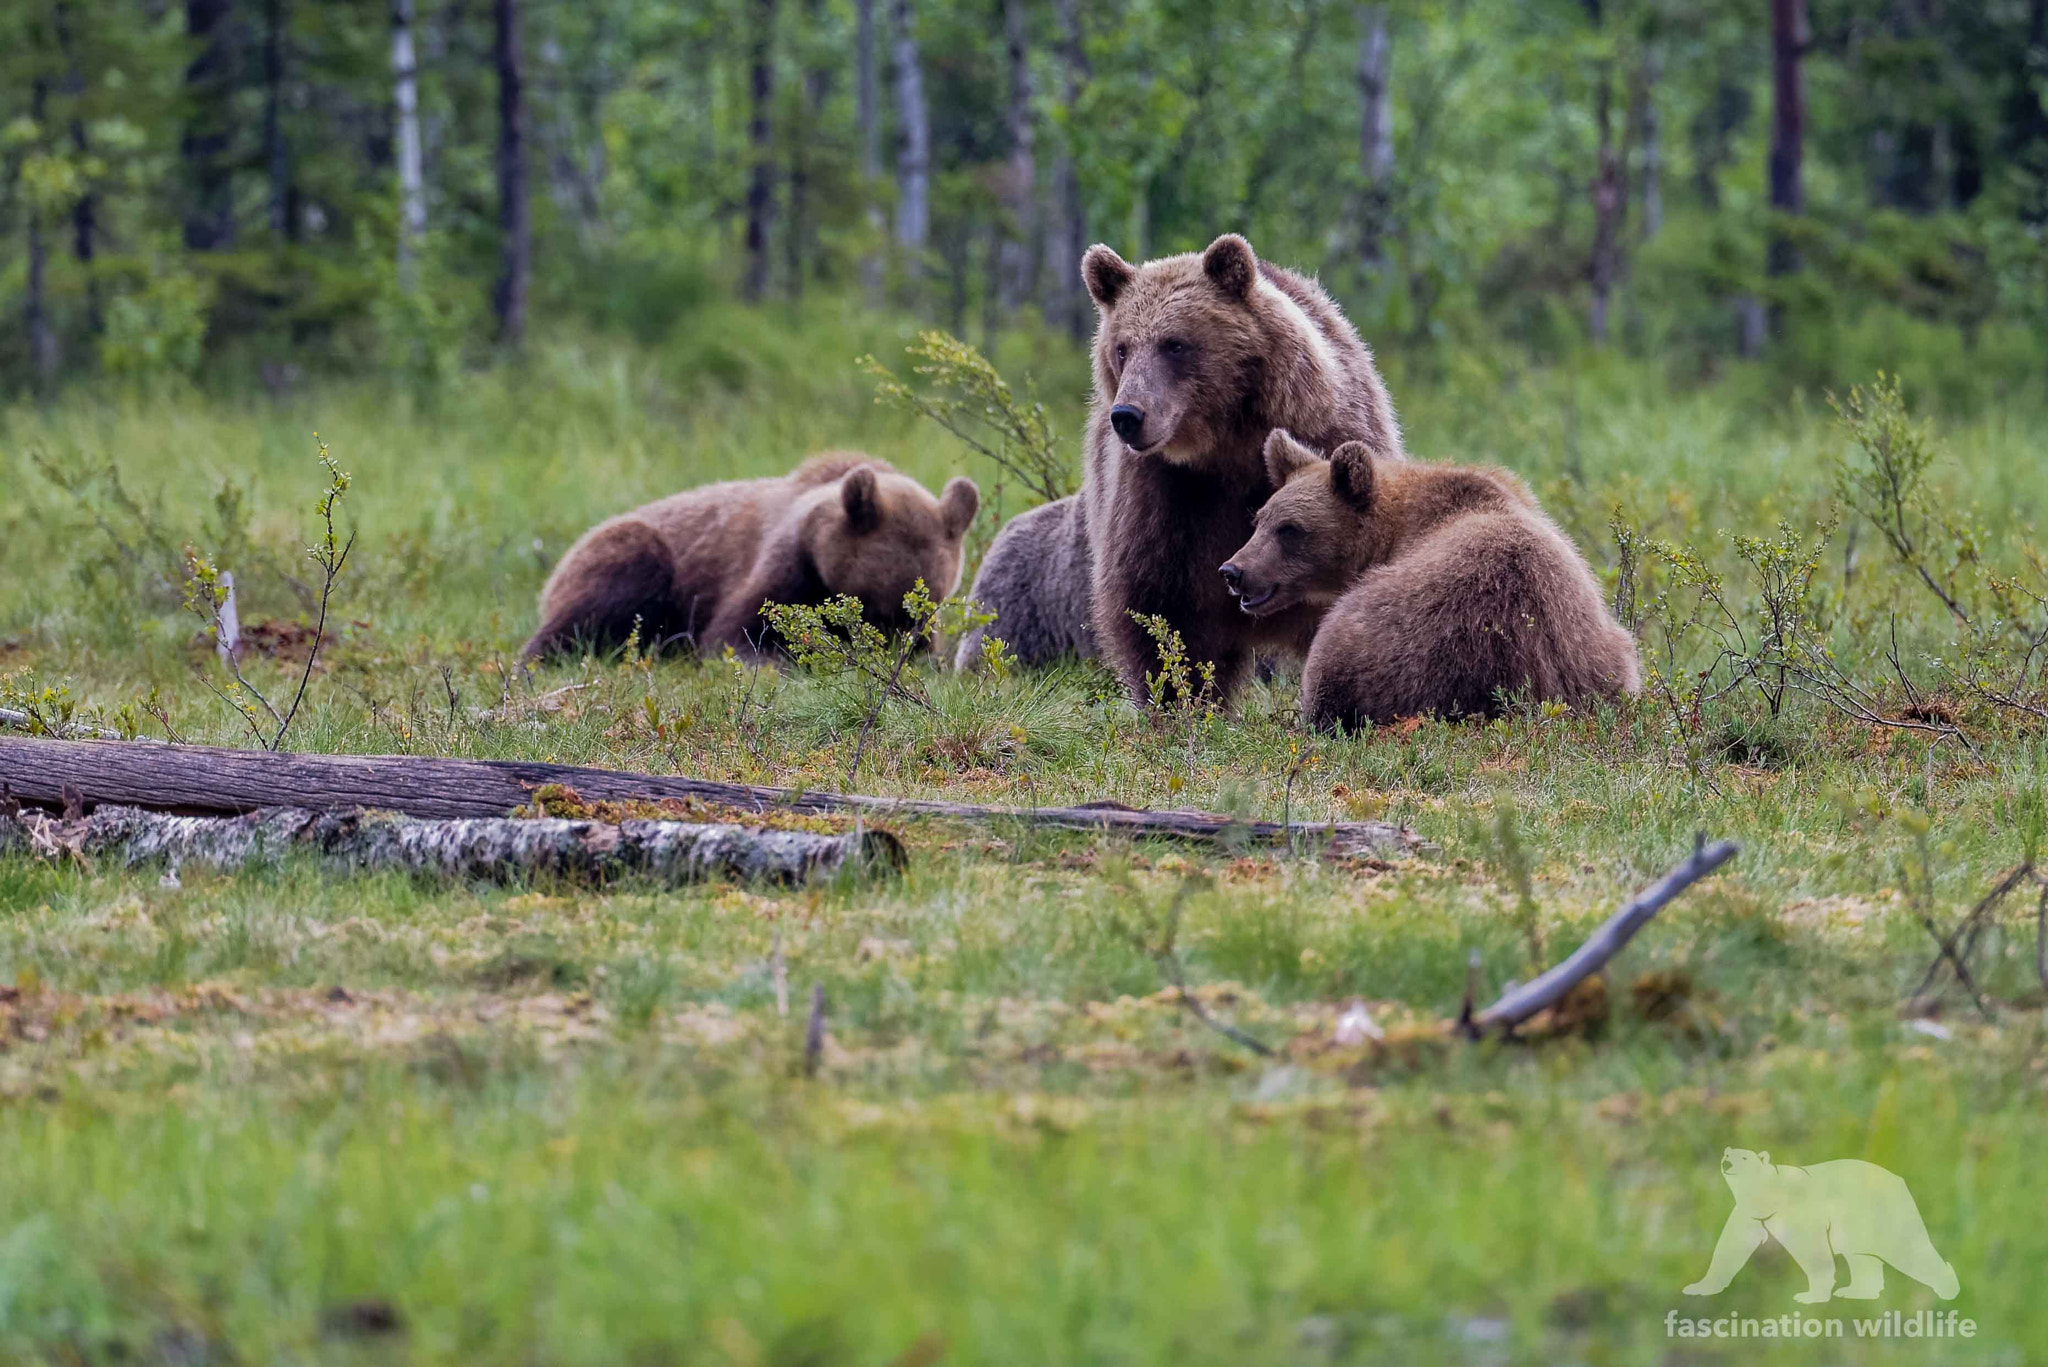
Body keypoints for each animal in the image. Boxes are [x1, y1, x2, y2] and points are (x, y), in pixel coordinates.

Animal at [520, 454, 979, 662]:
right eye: (877, 610)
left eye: (923, 612)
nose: (894, 652)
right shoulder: (784, 566)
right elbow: (736, 634)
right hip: (628, 555)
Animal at [953, 232, 1403, 707]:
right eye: (1122, 348)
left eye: (1175, 343)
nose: (1127, 415)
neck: (1228, 447)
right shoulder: (1164, 495)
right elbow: (1161, 606)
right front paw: (1181, 698)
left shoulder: (1326, 437)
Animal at [1683, 1147, 1959, 1304]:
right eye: (1727, 1155)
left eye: (1743, 1157)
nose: (1727, 1163)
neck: (1770, 1196)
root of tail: (1898, 1179)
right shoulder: (1747, 1213)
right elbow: (1729, 1248)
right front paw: (1697, 1287)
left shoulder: (1800, 1213)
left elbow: (1812, 1252)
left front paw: (1809, 1296)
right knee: (1862, 1257)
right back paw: (1856, 1291)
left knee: (1908, 1250)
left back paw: (1948, 1289)